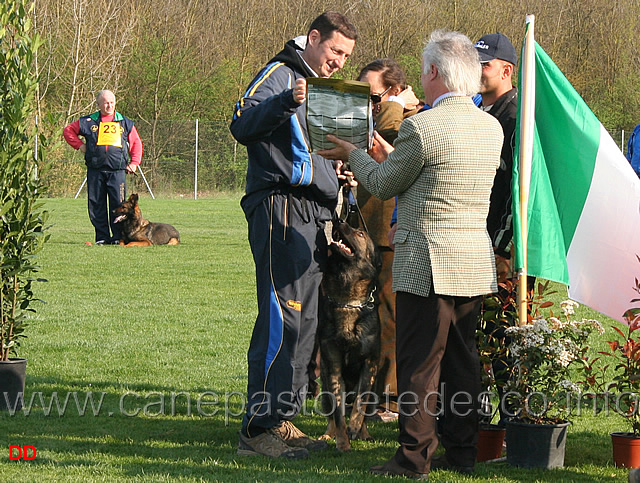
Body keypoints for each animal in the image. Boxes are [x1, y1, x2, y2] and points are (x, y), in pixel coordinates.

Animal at [316, 217, 380, 452]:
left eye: (360, 234)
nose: (338, 219)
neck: (348, 302)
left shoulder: (369, 365)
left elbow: (359, 404)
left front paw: (354, 428)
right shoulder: (334, 367)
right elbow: (338, 414)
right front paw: (342, 443)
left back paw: (364, 433)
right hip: (325, 387)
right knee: (331, 416)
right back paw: (328, 435)